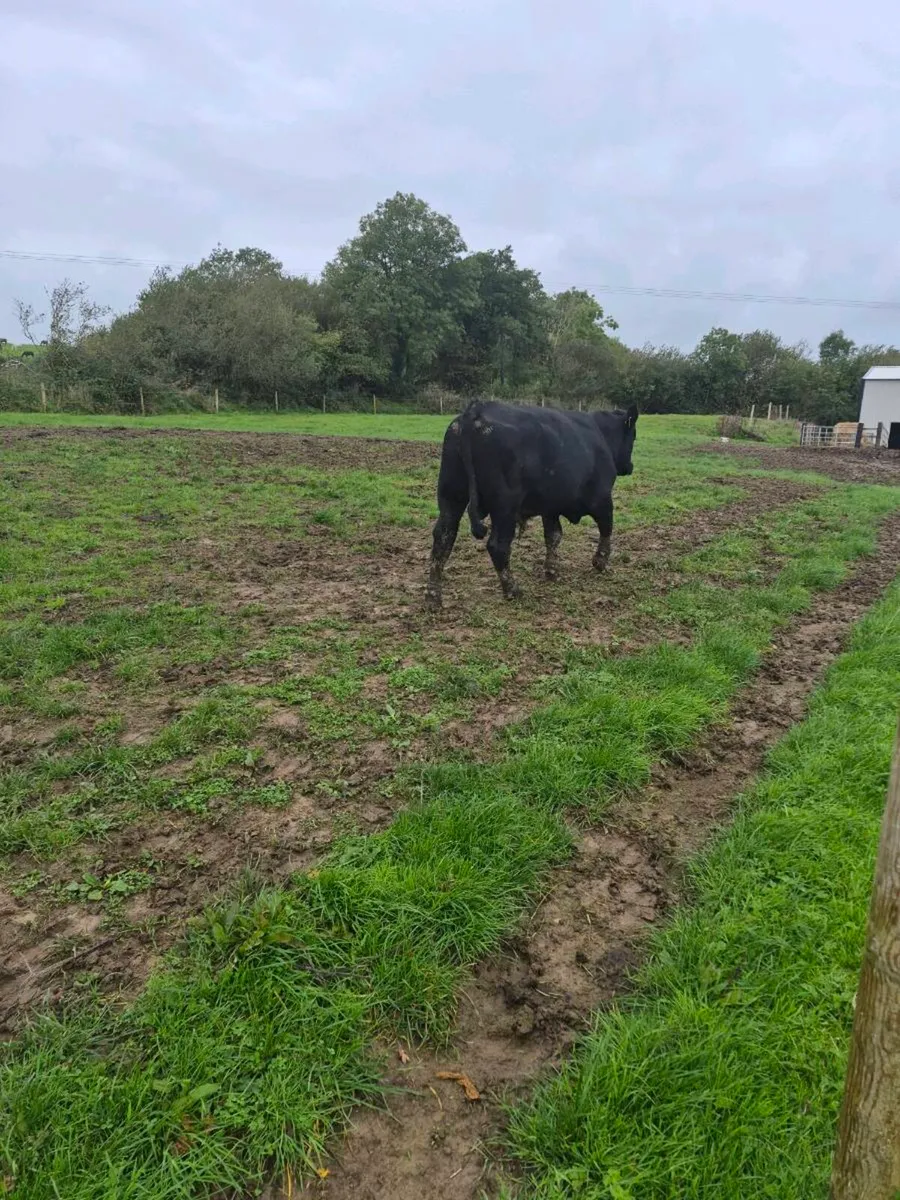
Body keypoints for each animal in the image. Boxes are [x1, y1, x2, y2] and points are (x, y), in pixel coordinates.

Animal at [426, 399, 638, 608]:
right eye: (634, 437)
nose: (629, 467)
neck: (601, 434)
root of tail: (476, 410)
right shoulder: (602, 498)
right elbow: (606, 528)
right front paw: (600, 562)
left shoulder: (550, 507)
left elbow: (553, 536)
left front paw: (551, 571)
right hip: (504, 507)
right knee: (498, 546)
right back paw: (513, 590)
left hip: (452, 496)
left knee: (443, 538)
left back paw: (433, 596)